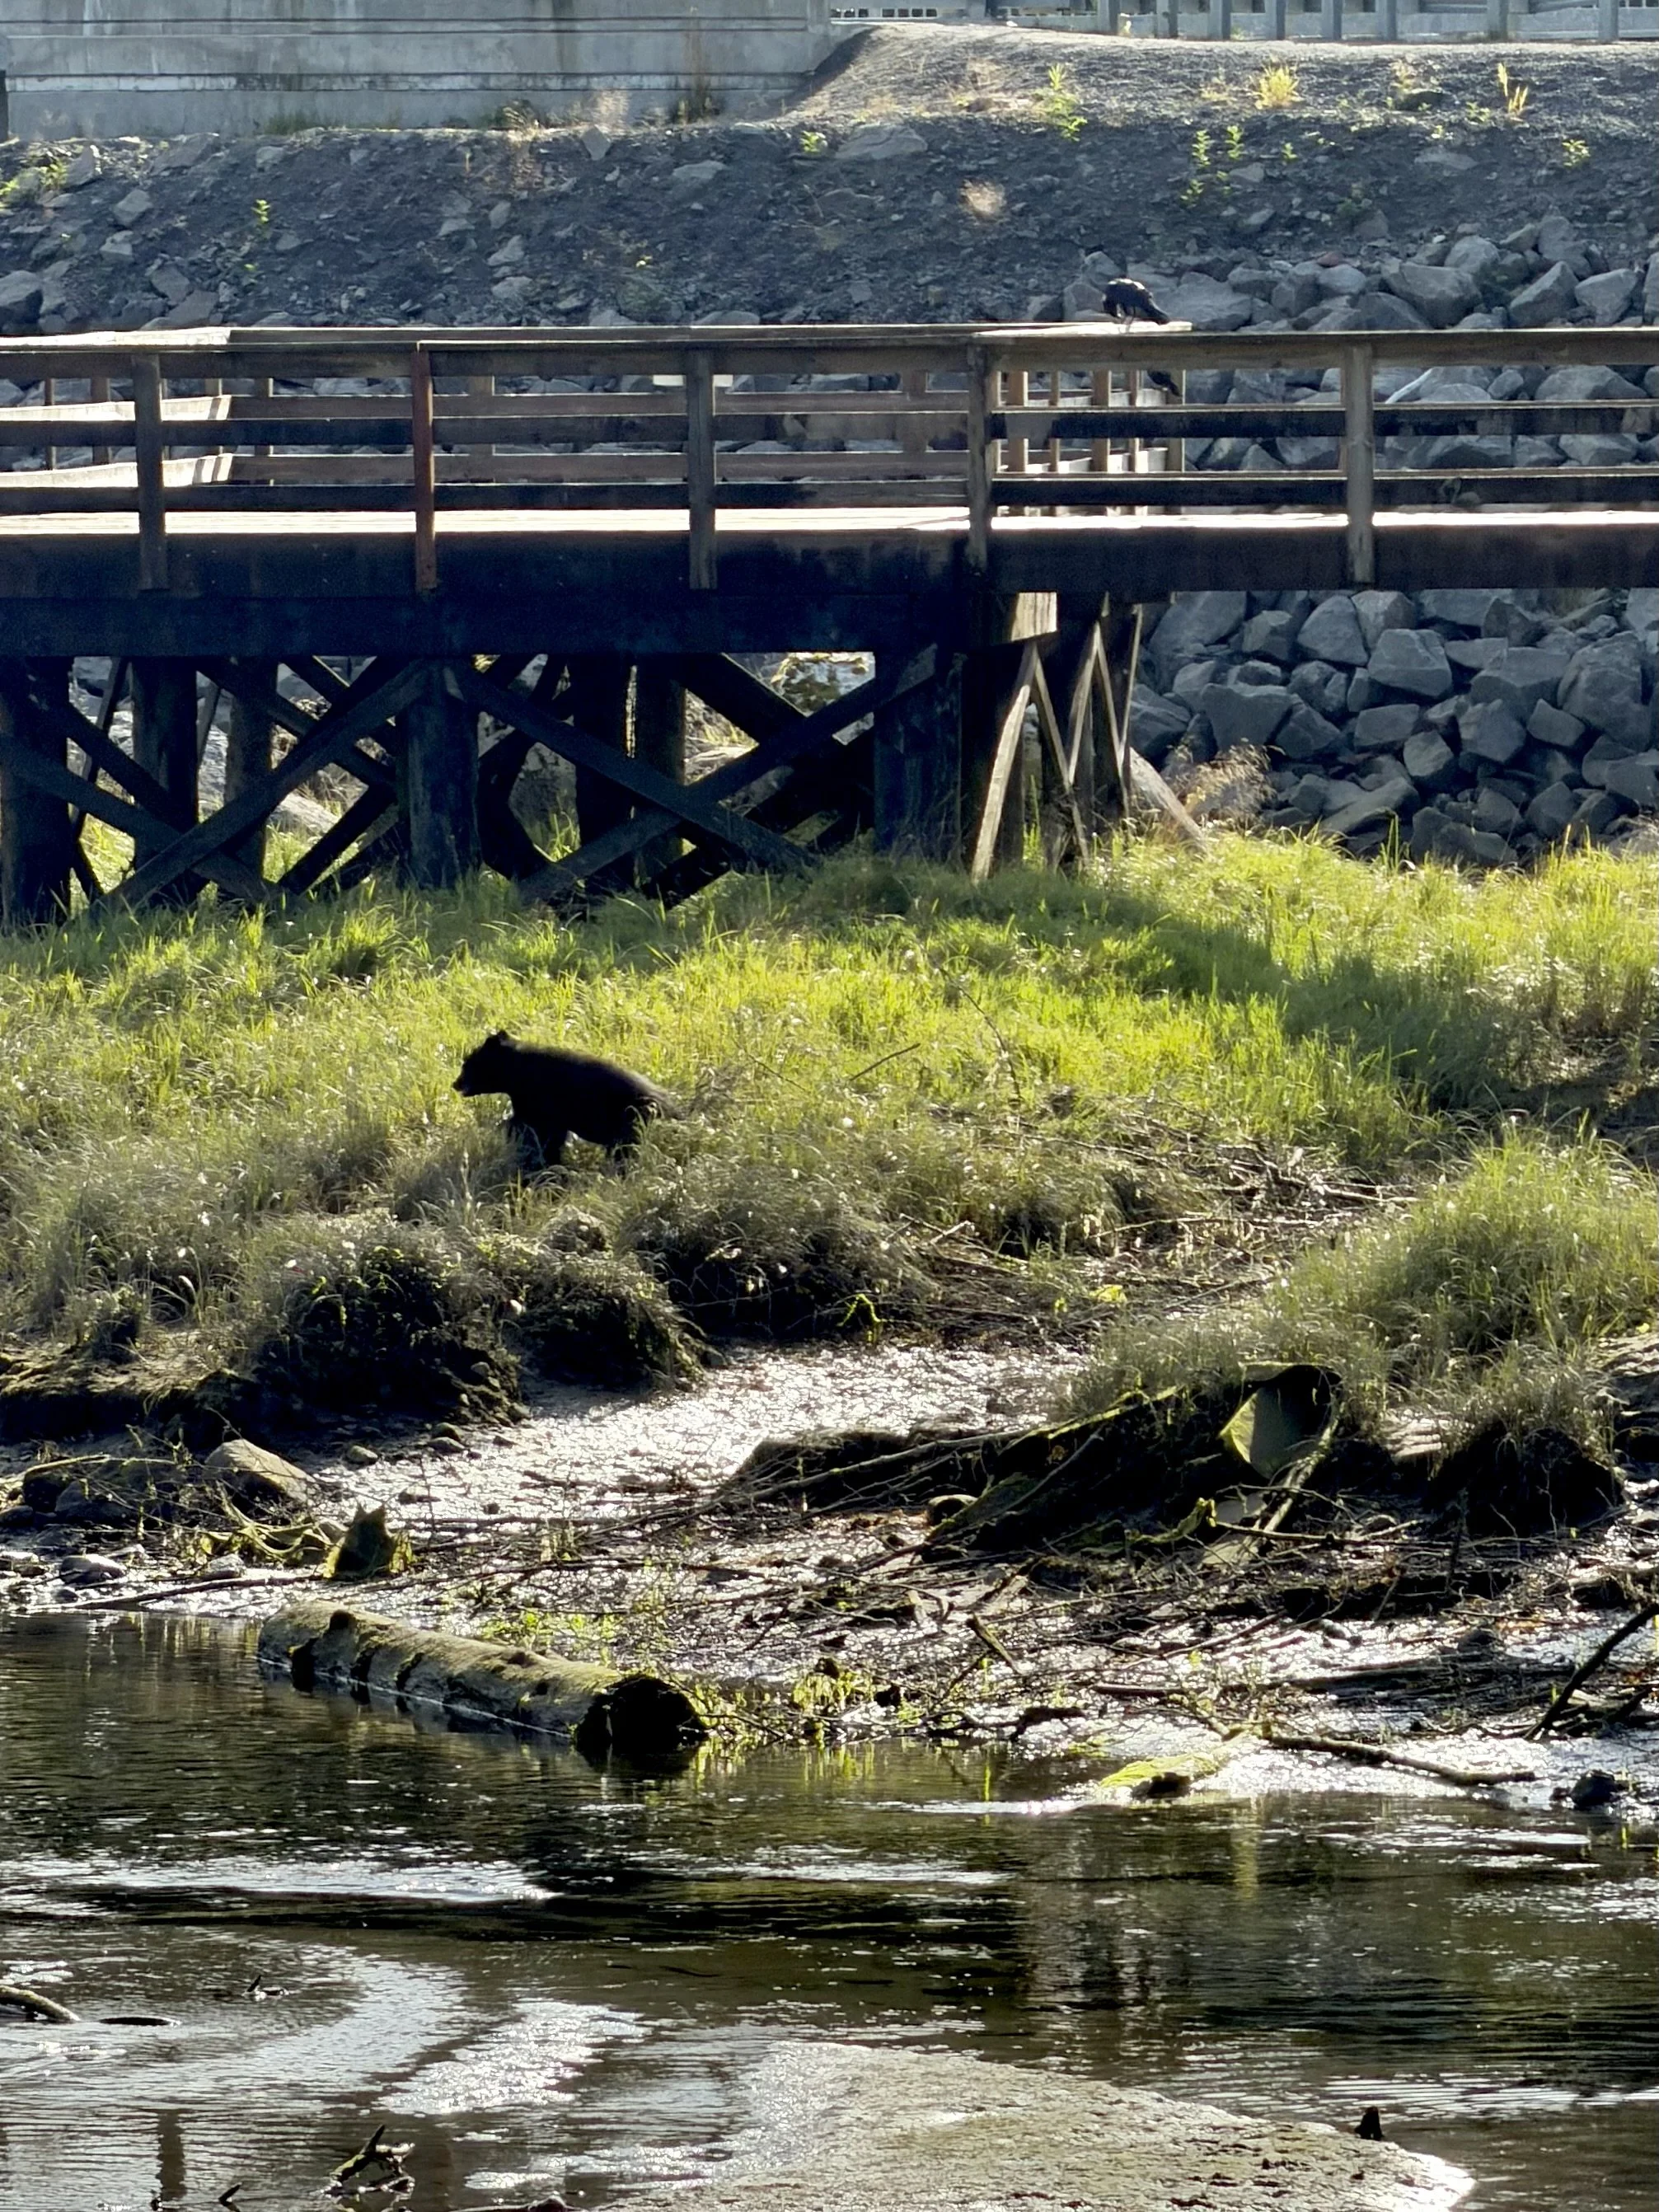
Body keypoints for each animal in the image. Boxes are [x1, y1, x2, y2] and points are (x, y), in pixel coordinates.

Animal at [453, 1032, 673, 1168]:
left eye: (467, 1064)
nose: (455, 1084)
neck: (518, 1070)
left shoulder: (539, 1103)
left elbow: (540, 1136)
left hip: (628, 1120)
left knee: (625, 1152)